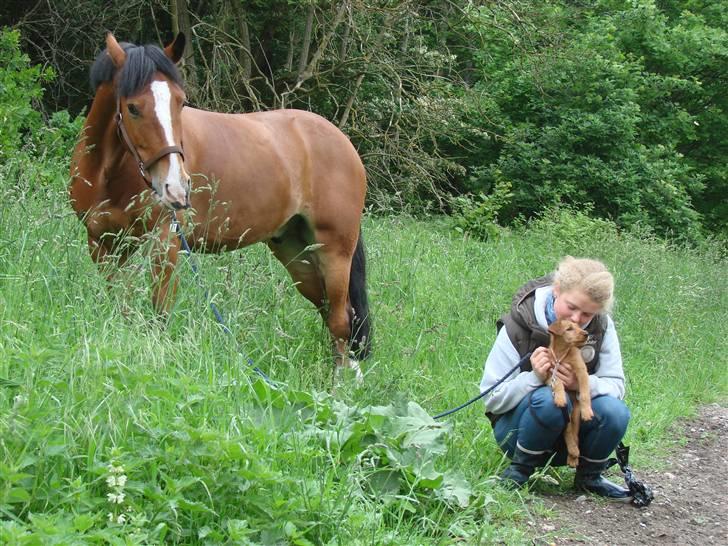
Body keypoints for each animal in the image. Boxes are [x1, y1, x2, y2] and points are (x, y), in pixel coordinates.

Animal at [69, 33, 370, 374]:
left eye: (180, 101)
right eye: (132, 108)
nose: (176, 187)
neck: (108, 171)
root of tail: (342, 142)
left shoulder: (165, 242)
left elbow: (160, 312)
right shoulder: (103, 243)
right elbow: (120, 305)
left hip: (335, 250)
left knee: (341, 319)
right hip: (296, 252)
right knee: (330, 311)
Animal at [548, 316, 596, 466]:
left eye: (579, 326)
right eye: (569, 329)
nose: (586, 334)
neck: (562, 353)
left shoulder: (582, 372)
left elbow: (585, 394)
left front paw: (587, 412)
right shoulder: (549, 374)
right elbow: (558, 383)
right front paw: (560, 398)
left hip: (575, 413)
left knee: (575, 433)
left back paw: (574, 455)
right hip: (568, 415)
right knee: (568, 431)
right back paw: (573, 452)